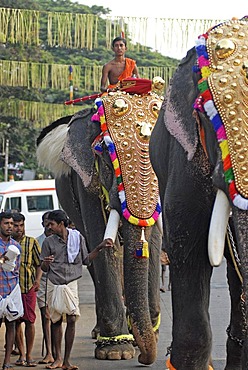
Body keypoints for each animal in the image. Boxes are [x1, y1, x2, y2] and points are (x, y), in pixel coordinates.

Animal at [36, 81, 165, 364]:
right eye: (106, 158)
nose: (144, 359)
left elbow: (154, 242)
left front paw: (149, 336)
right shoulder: (85, 181)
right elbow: (101, 243)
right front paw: (116, 351)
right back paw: (102, 334)